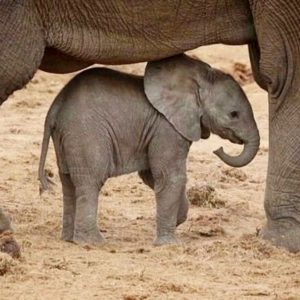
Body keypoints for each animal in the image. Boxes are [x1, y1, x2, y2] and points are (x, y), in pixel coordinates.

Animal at [37, 54, 258, 246]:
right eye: (234, 114)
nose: (218, 149)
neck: (198, 80)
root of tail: (54, 108)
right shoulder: (166, 128)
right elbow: (170, 176)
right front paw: (169, 244)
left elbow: (151, 175)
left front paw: (178, 219)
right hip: (86, 135)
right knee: (90, 182)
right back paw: (93, 243)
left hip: (67, 137)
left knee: (68, 182)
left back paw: (69, 239)